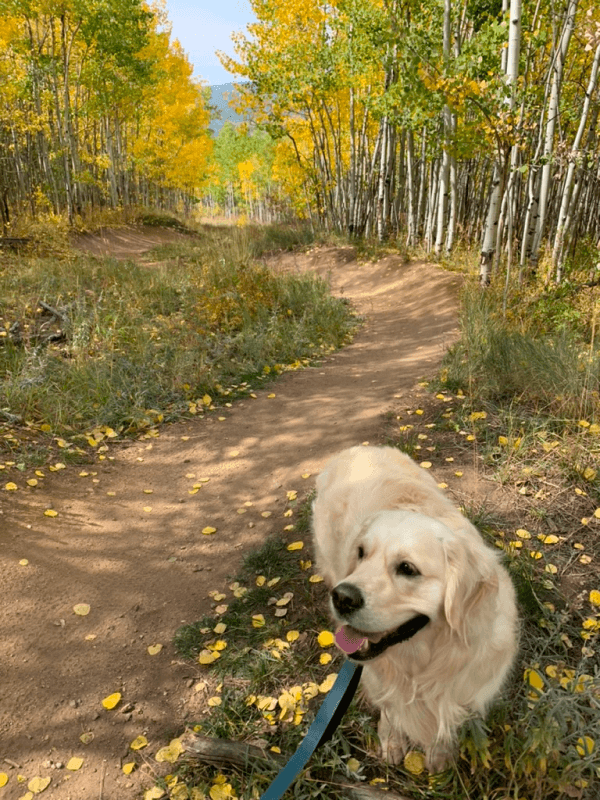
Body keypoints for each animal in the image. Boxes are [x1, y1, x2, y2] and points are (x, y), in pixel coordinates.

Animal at [312, 446, 516, 772]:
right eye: (361, 553)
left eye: (407, 569)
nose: (342, 598)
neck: (420, 666)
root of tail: (356, 448)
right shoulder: (377, 677)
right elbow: (390, 709)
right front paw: (392, 739)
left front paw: (440, 753)